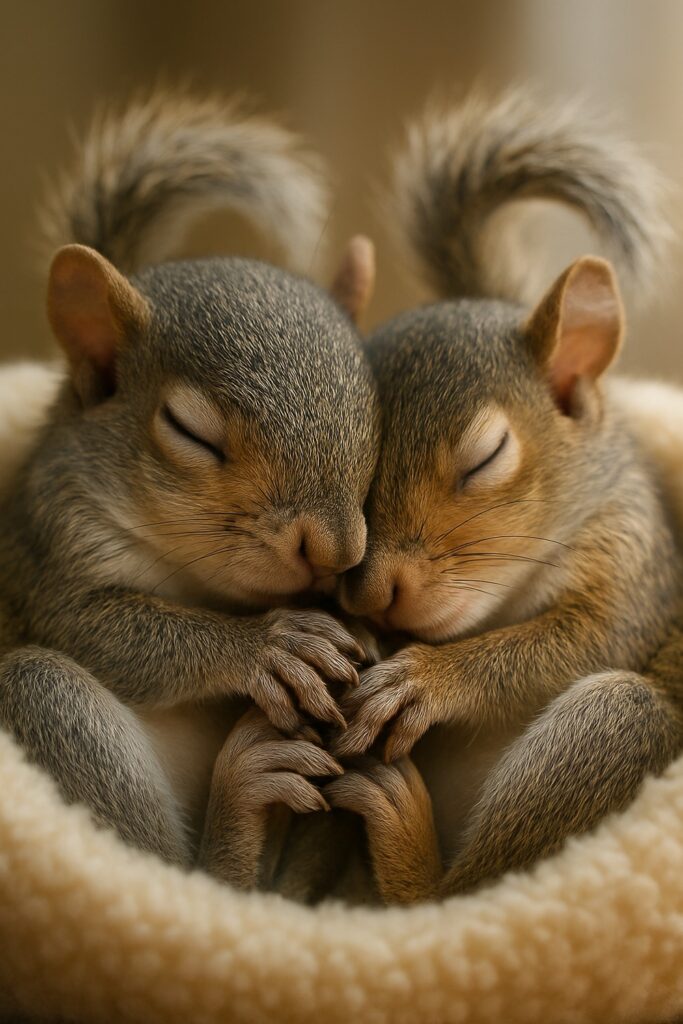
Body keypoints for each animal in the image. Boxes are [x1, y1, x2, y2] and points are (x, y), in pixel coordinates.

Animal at [0, 90, 380, 870]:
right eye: (190, 432)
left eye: (373, 399)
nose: (335, 552)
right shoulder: (45, 555)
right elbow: (104, 631)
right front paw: (266, 648)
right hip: (45, 701)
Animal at [314, 90, 683, 902]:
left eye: (485, 457)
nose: (373, 592)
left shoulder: (636, 571)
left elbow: (585, 639)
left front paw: (424, 681)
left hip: (617, 727)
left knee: (457, 897)